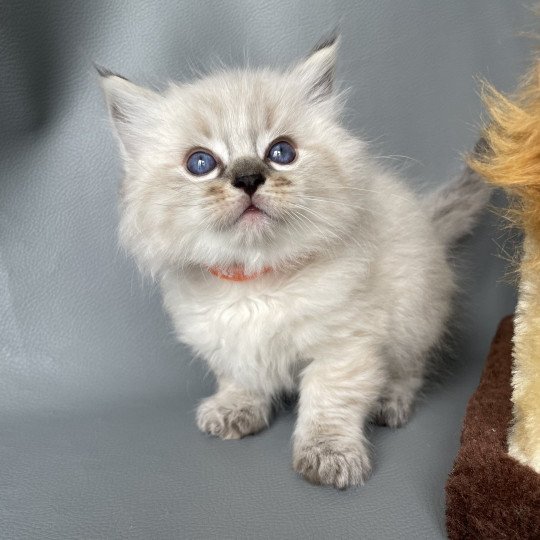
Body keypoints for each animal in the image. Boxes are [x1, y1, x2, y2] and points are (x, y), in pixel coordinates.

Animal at [97, 35, 490, 488]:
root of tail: (427, 222)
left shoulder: (344, 345)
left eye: (281, 152)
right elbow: (240, 379)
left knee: (410, 369)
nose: (248, 178)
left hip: (413, 316)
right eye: (200, 163)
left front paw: (329, 455)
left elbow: (328, 402)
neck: (255, 280)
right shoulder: (225, 341)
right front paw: (235, 410)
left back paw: (389, 401)